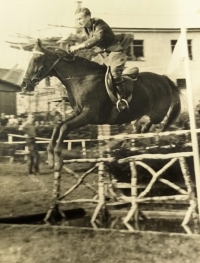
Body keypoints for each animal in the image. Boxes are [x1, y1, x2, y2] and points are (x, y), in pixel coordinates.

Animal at [20, 38, 181, 172]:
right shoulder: (78, 112)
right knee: (139, 128)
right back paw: (127, 144)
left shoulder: (89, 115)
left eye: (37, 59)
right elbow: (58, 125)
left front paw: (58, 160)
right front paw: (50, 157)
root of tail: (164, 79)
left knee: (148, 126)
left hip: (156, 114)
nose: (25, 84)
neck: (81, 79)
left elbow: (65, 127)